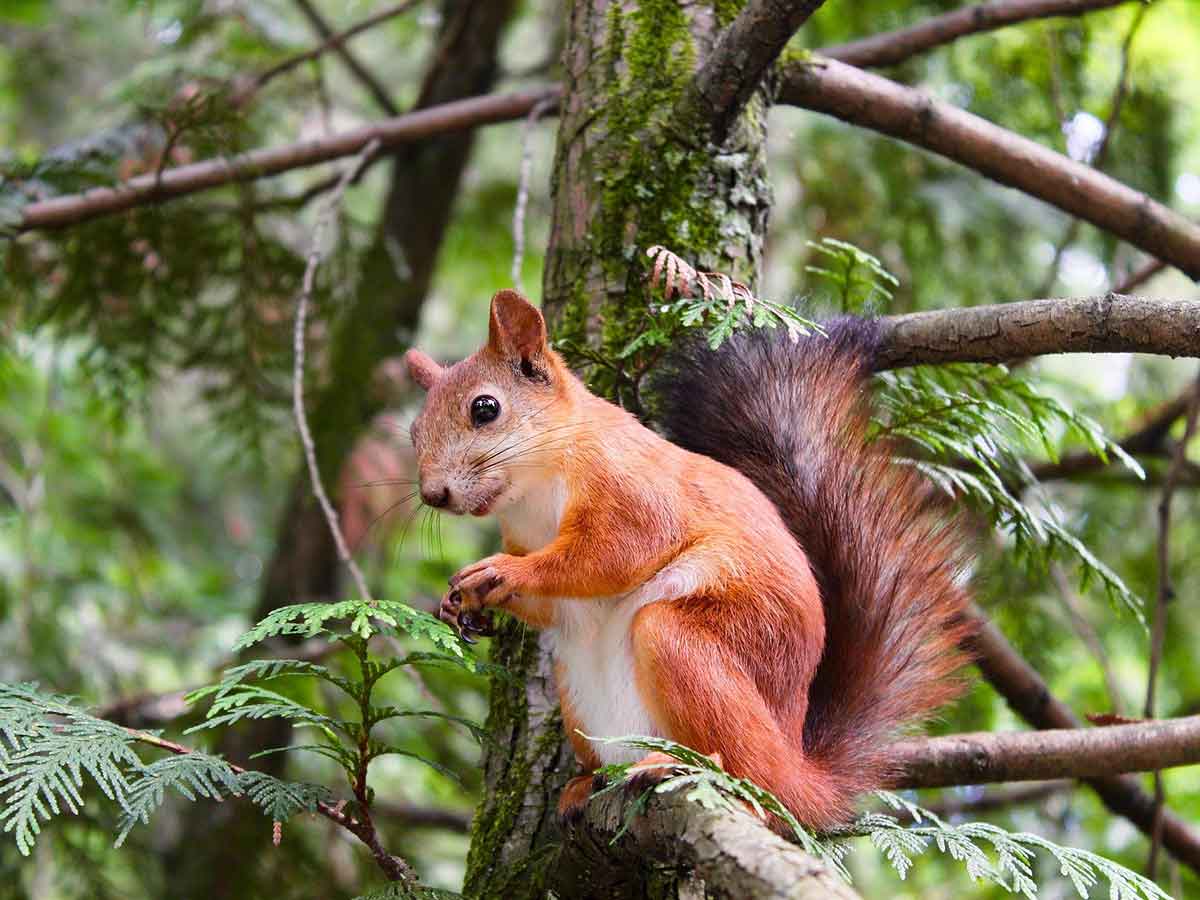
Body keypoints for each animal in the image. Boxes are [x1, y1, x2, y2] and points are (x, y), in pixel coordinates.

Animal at [405, 289, 974, 830]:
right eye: (413, 432)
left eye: (485, 409)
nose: (433, 495)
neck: (536, 490)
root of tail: (798, 771)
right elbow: (553, 604)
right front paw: (462, 604)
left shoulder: (632, 489)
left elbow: (612, 554)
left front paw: (501, 572)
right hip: (577, 691)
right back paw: (586, 783)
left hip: (690, 645)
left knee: (749, 775)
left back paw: (680, 766)